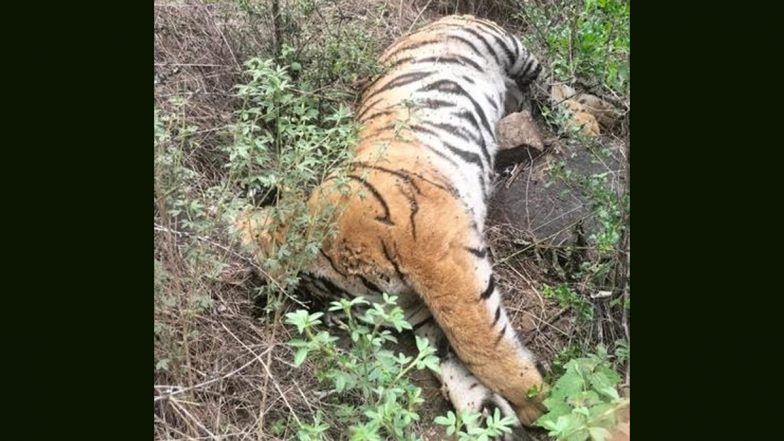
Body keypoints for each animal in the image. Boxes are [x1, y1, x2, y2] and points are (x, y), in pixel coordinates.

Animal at [235, 15, 548, 439]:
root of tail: (437, 19)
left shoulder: (441, 260)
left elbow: (478, 343)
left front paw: (539, 403)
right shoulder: (416, 306)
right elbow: (446, 356)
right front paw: (488, 417)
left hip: (508, 47)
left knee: (548, 79)